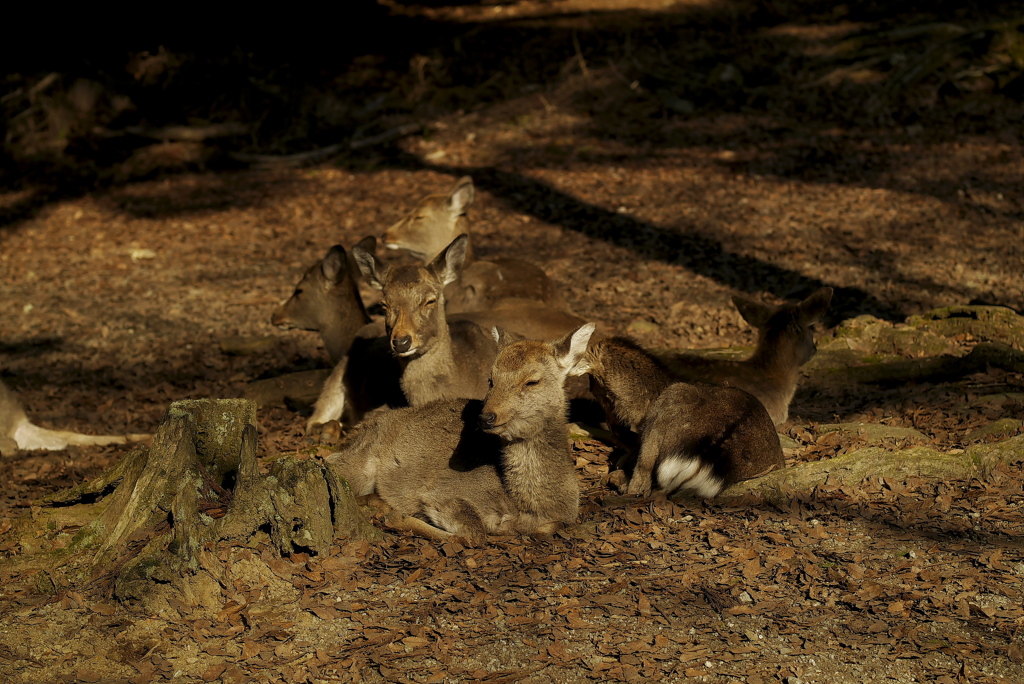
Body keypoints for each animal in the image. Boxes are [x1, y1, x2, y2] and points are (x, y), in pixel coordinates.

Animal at [319, 323, 593, 540]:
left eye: (532, 381)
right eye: (491, 380)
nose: (486, 417)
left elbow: (551, 527)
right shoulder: (443, 492)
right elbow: (473, 534)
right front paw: (396, 515)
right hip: (359, 464)